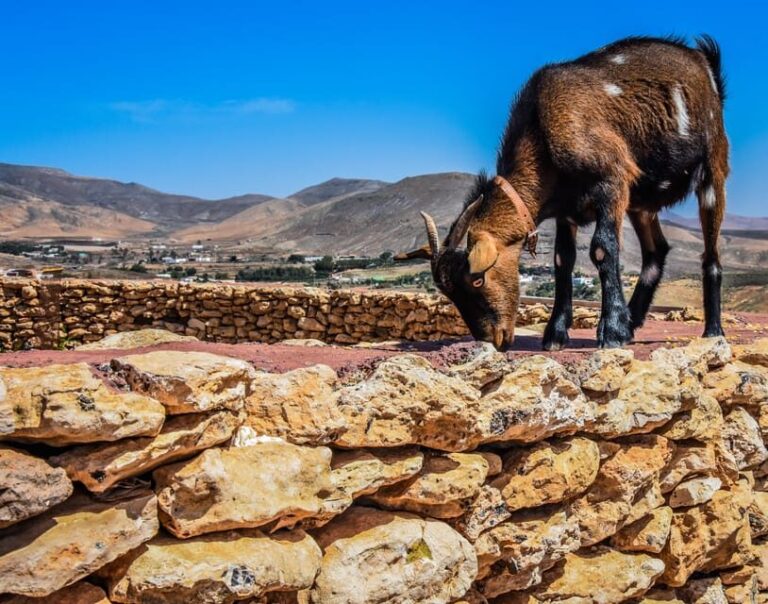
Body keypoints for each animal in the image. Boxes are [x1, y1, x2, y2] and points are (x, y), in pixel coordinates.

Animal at [397, 35, 728, 350]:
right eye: (449, 291)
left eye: (477, 279)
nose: (493, 338)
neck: (542, 130)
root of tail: (702, 59)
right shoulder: (567, 211)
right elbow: (562, 260)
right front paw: (556, 333)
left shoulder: (612, 181)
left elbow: (602, 248)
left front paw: (611, 332)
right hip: (641, 202)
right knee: (656, 251)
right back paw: (633, 321)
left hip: (713, 169)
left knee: (710, 253)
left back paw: (712, 331)